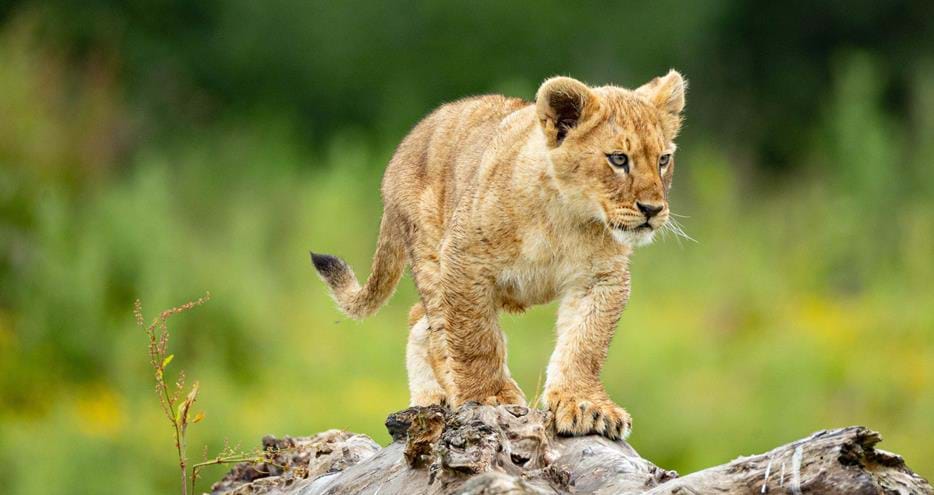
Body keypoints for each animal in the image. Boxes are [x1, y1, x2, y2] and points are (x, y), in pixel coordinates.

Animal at [311, 71, 686, 440]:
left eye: (663, 160)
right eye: (618, 159)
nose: (653, 209)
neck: (566, 217)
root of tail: (402, 149)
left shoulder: (601, 279)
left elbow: (585, 343)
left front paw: (585, 405)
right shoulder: (463, 261)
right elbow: (475, 339)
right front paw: (489, 397)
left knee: (419, 319)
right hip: (431, 256)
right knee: (434, 327)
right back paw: (438, 395)